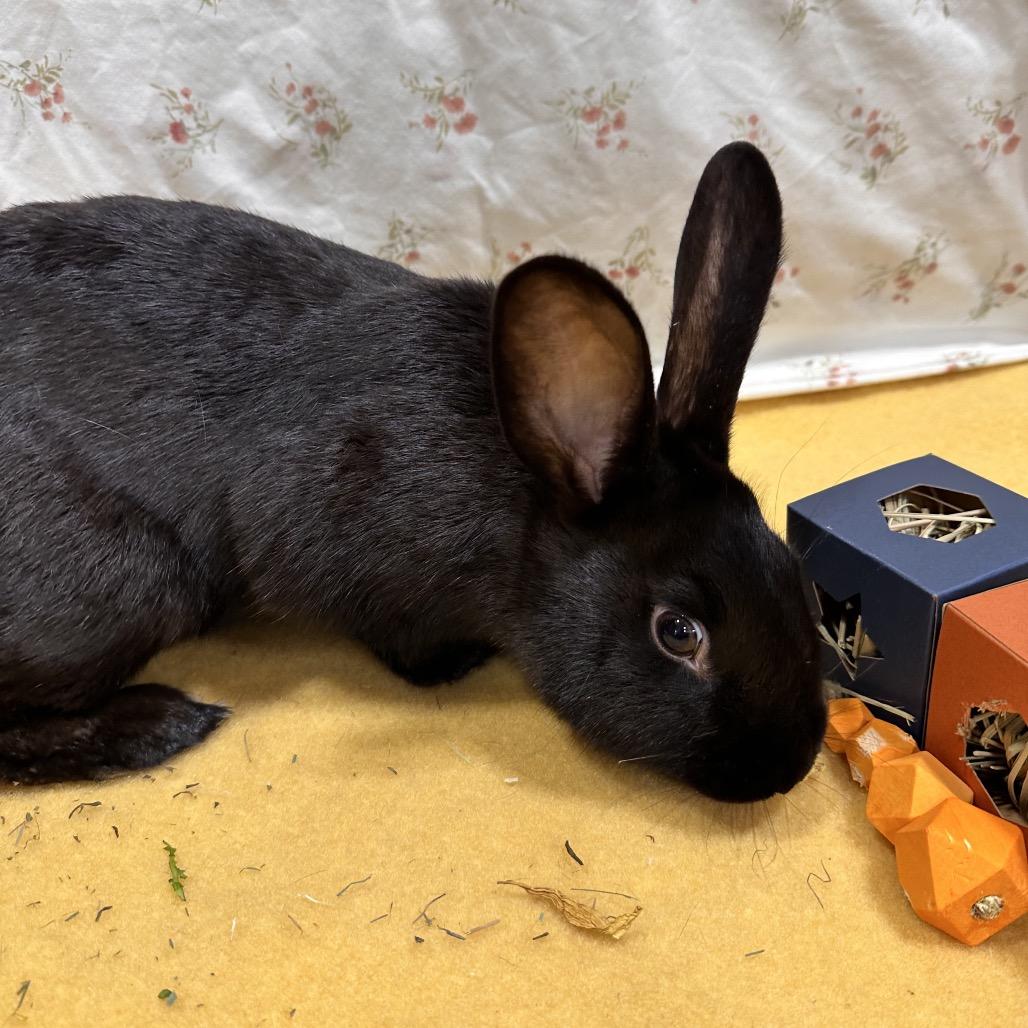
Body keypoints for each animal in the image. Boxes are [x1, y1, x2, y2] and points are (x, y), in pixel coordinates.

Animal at [0, 141, 825, 800]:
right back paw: (163, 724)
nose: (782, 771)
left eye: (798, 580)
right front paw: (459, 664)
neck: (525, 506)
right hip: (128, 589)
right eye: (677, 633)